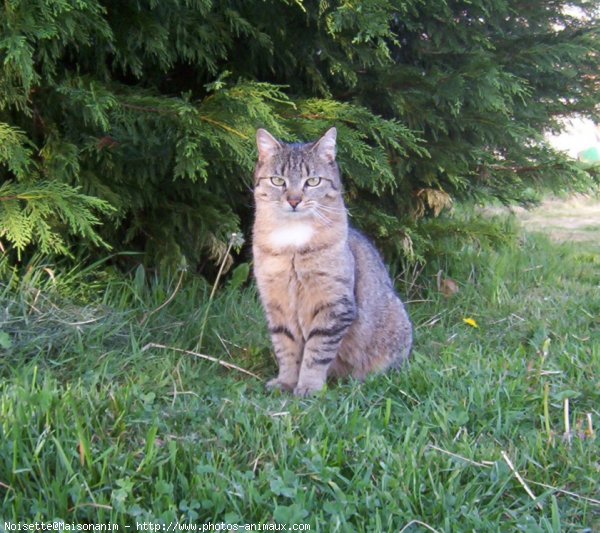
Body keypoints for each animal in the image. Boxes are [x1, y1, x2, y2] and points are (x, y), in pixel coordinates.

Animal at [252, 128, 412, 394]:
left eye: (312, 181)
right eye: (278, 181)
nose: (294, 200)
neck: (293, 241)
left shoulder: (334, 306)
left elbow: (316, 353)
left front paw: (308, 388)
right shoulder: (277, 305)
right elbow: (286, 348)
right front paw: (286, 382)